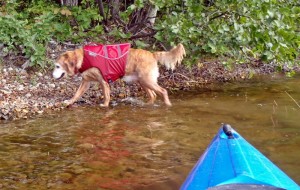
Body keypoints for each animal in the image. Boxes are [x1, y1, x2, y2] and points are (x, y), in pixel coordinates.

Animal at [52, 42, 186, 107]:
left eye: (57, 66)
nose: (52, 76)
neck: (84, 59)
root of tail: (152, 54)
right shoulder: (86, 82)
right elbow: (76, 94)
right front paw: (68, 102)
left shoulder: (103, 81)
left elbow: (106, 96)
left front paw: (104, 105)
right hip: (142, 81)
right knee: (153, 95)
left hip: (147, 80)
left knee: (163, 91)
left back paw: (168, 105)